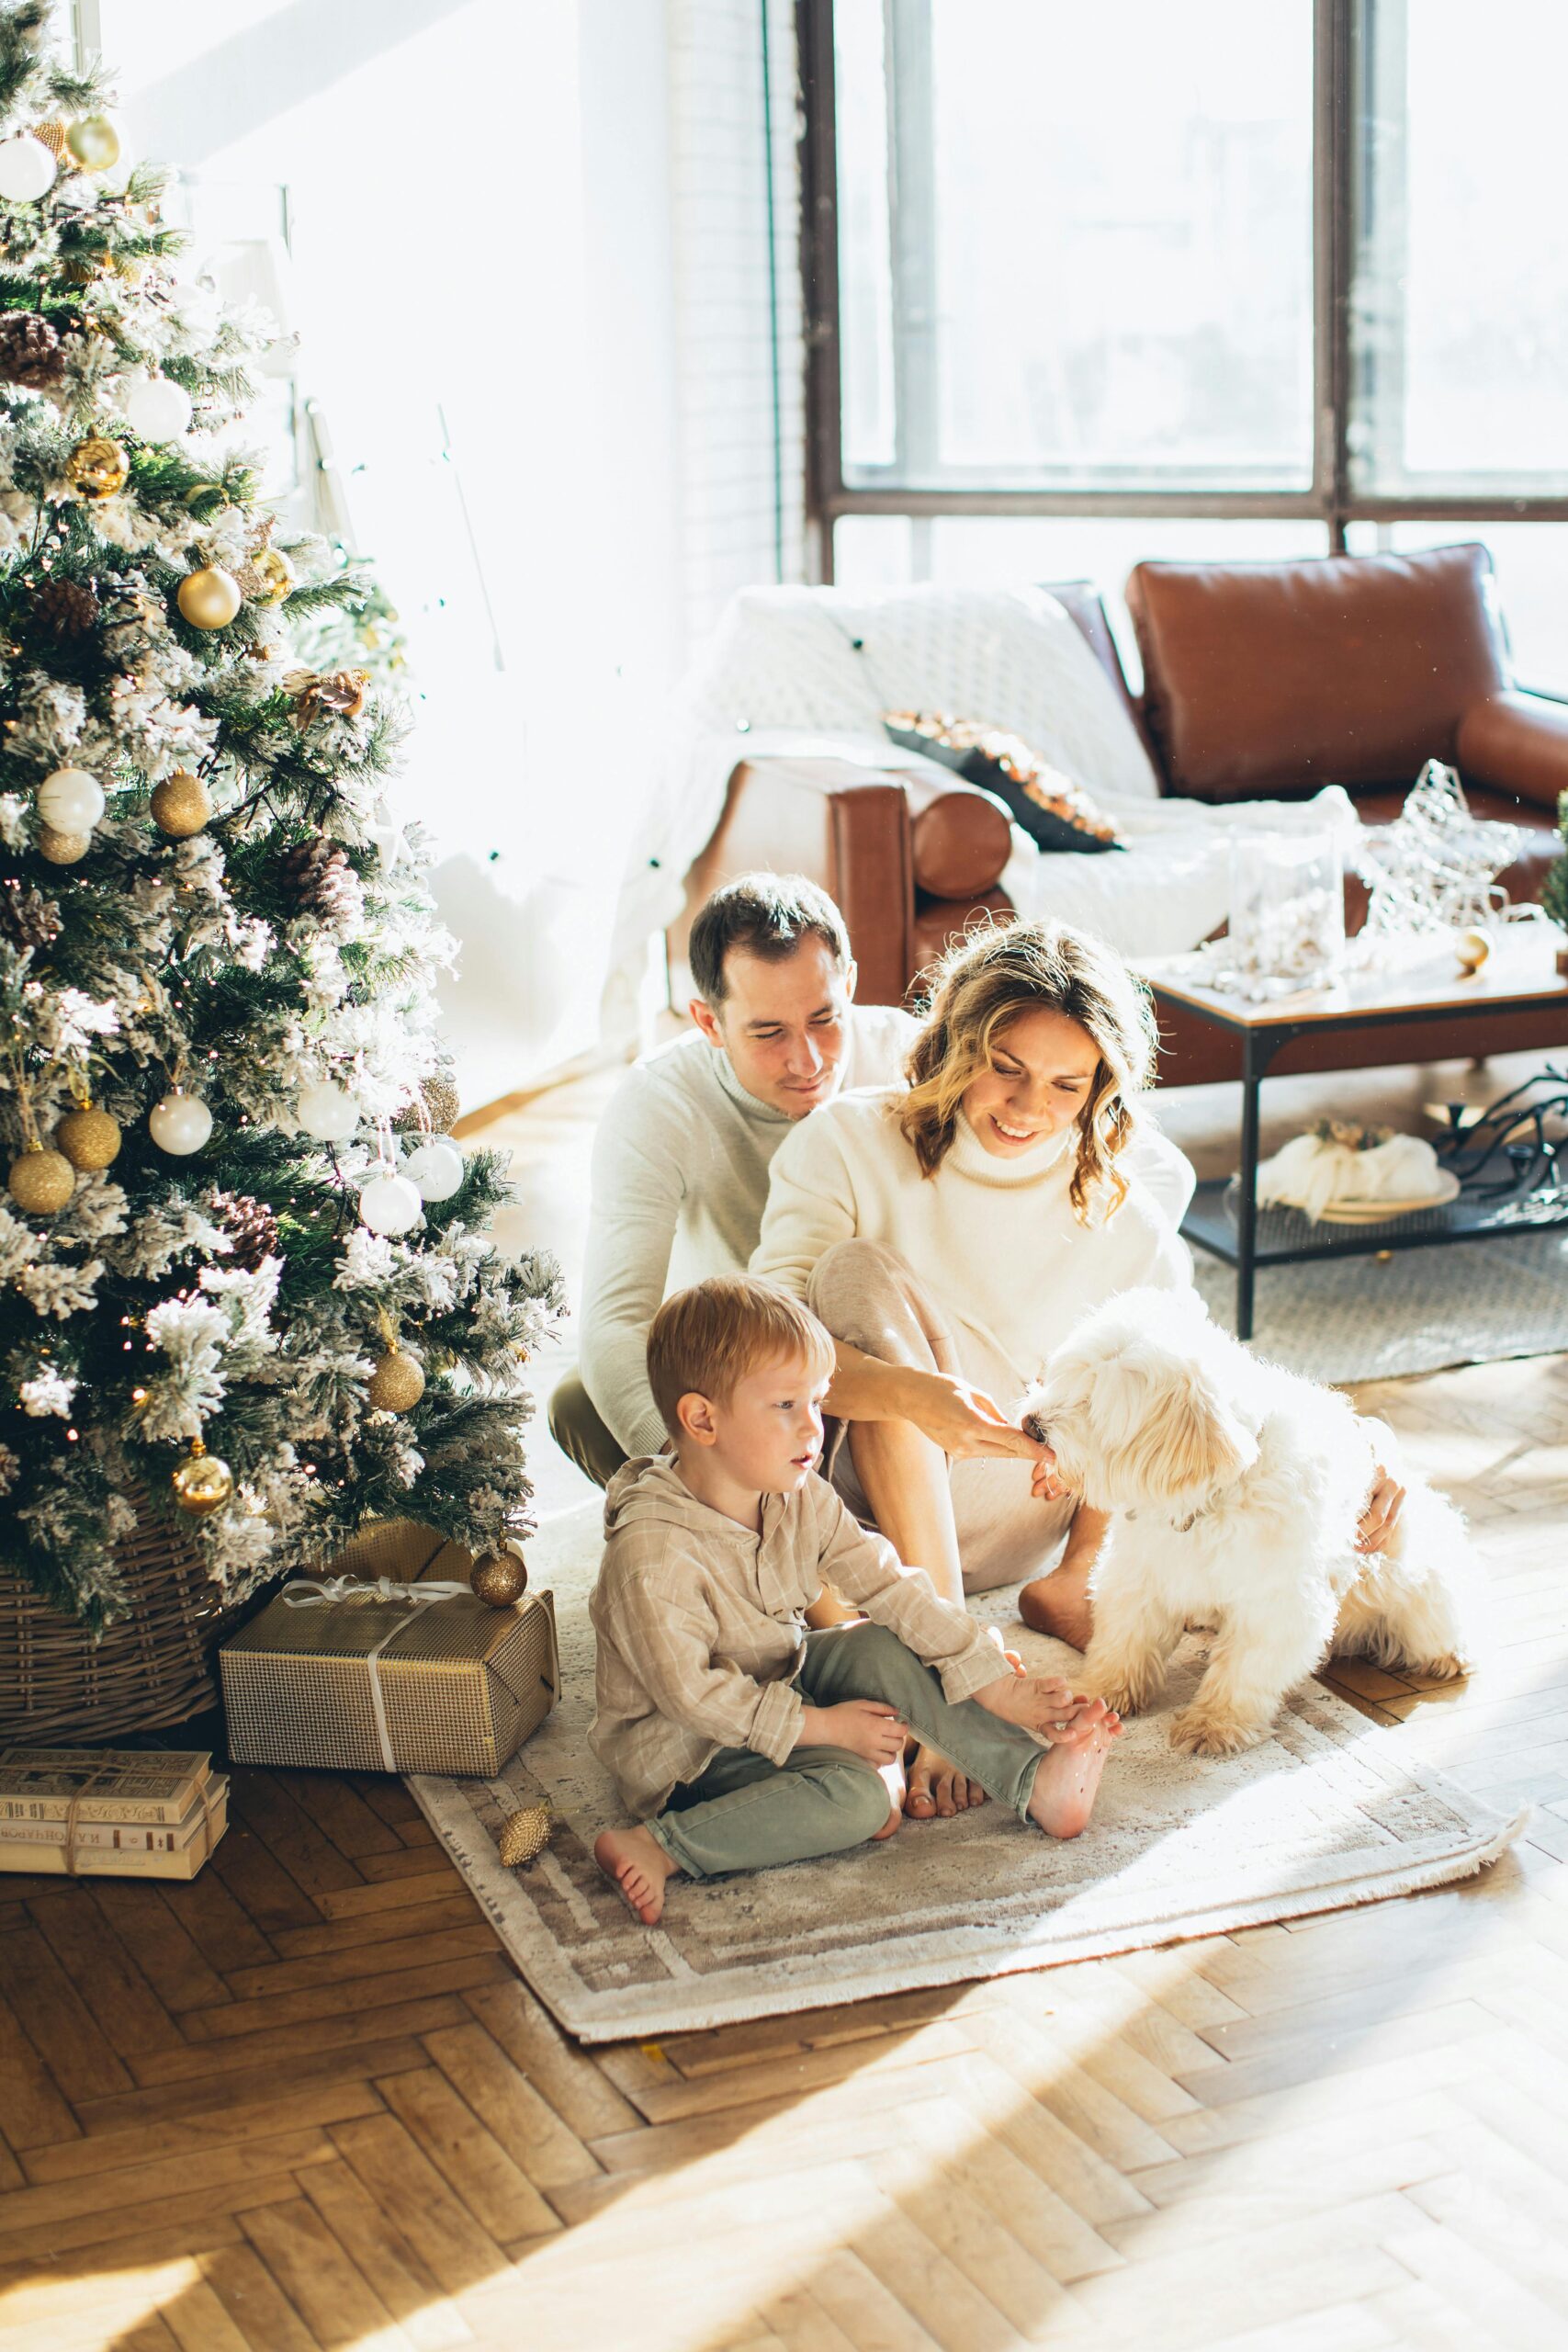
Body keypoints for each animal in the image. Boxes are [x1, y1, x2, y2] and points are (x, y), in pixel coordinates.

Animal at [1024, 1288, 1476, 1769]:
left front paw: (1215, 1723)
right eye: (1064, 1379)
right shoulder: (1139, 1575)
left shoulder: (1277, 1603)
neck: (1211, 1499)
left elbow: (1245, 1669)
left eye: (1092, 1405)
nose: (1032, 1427)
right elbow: (1123, 1643)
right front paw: (1099, 1692)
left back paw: (1451, 1654)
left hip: (1423, 1593)